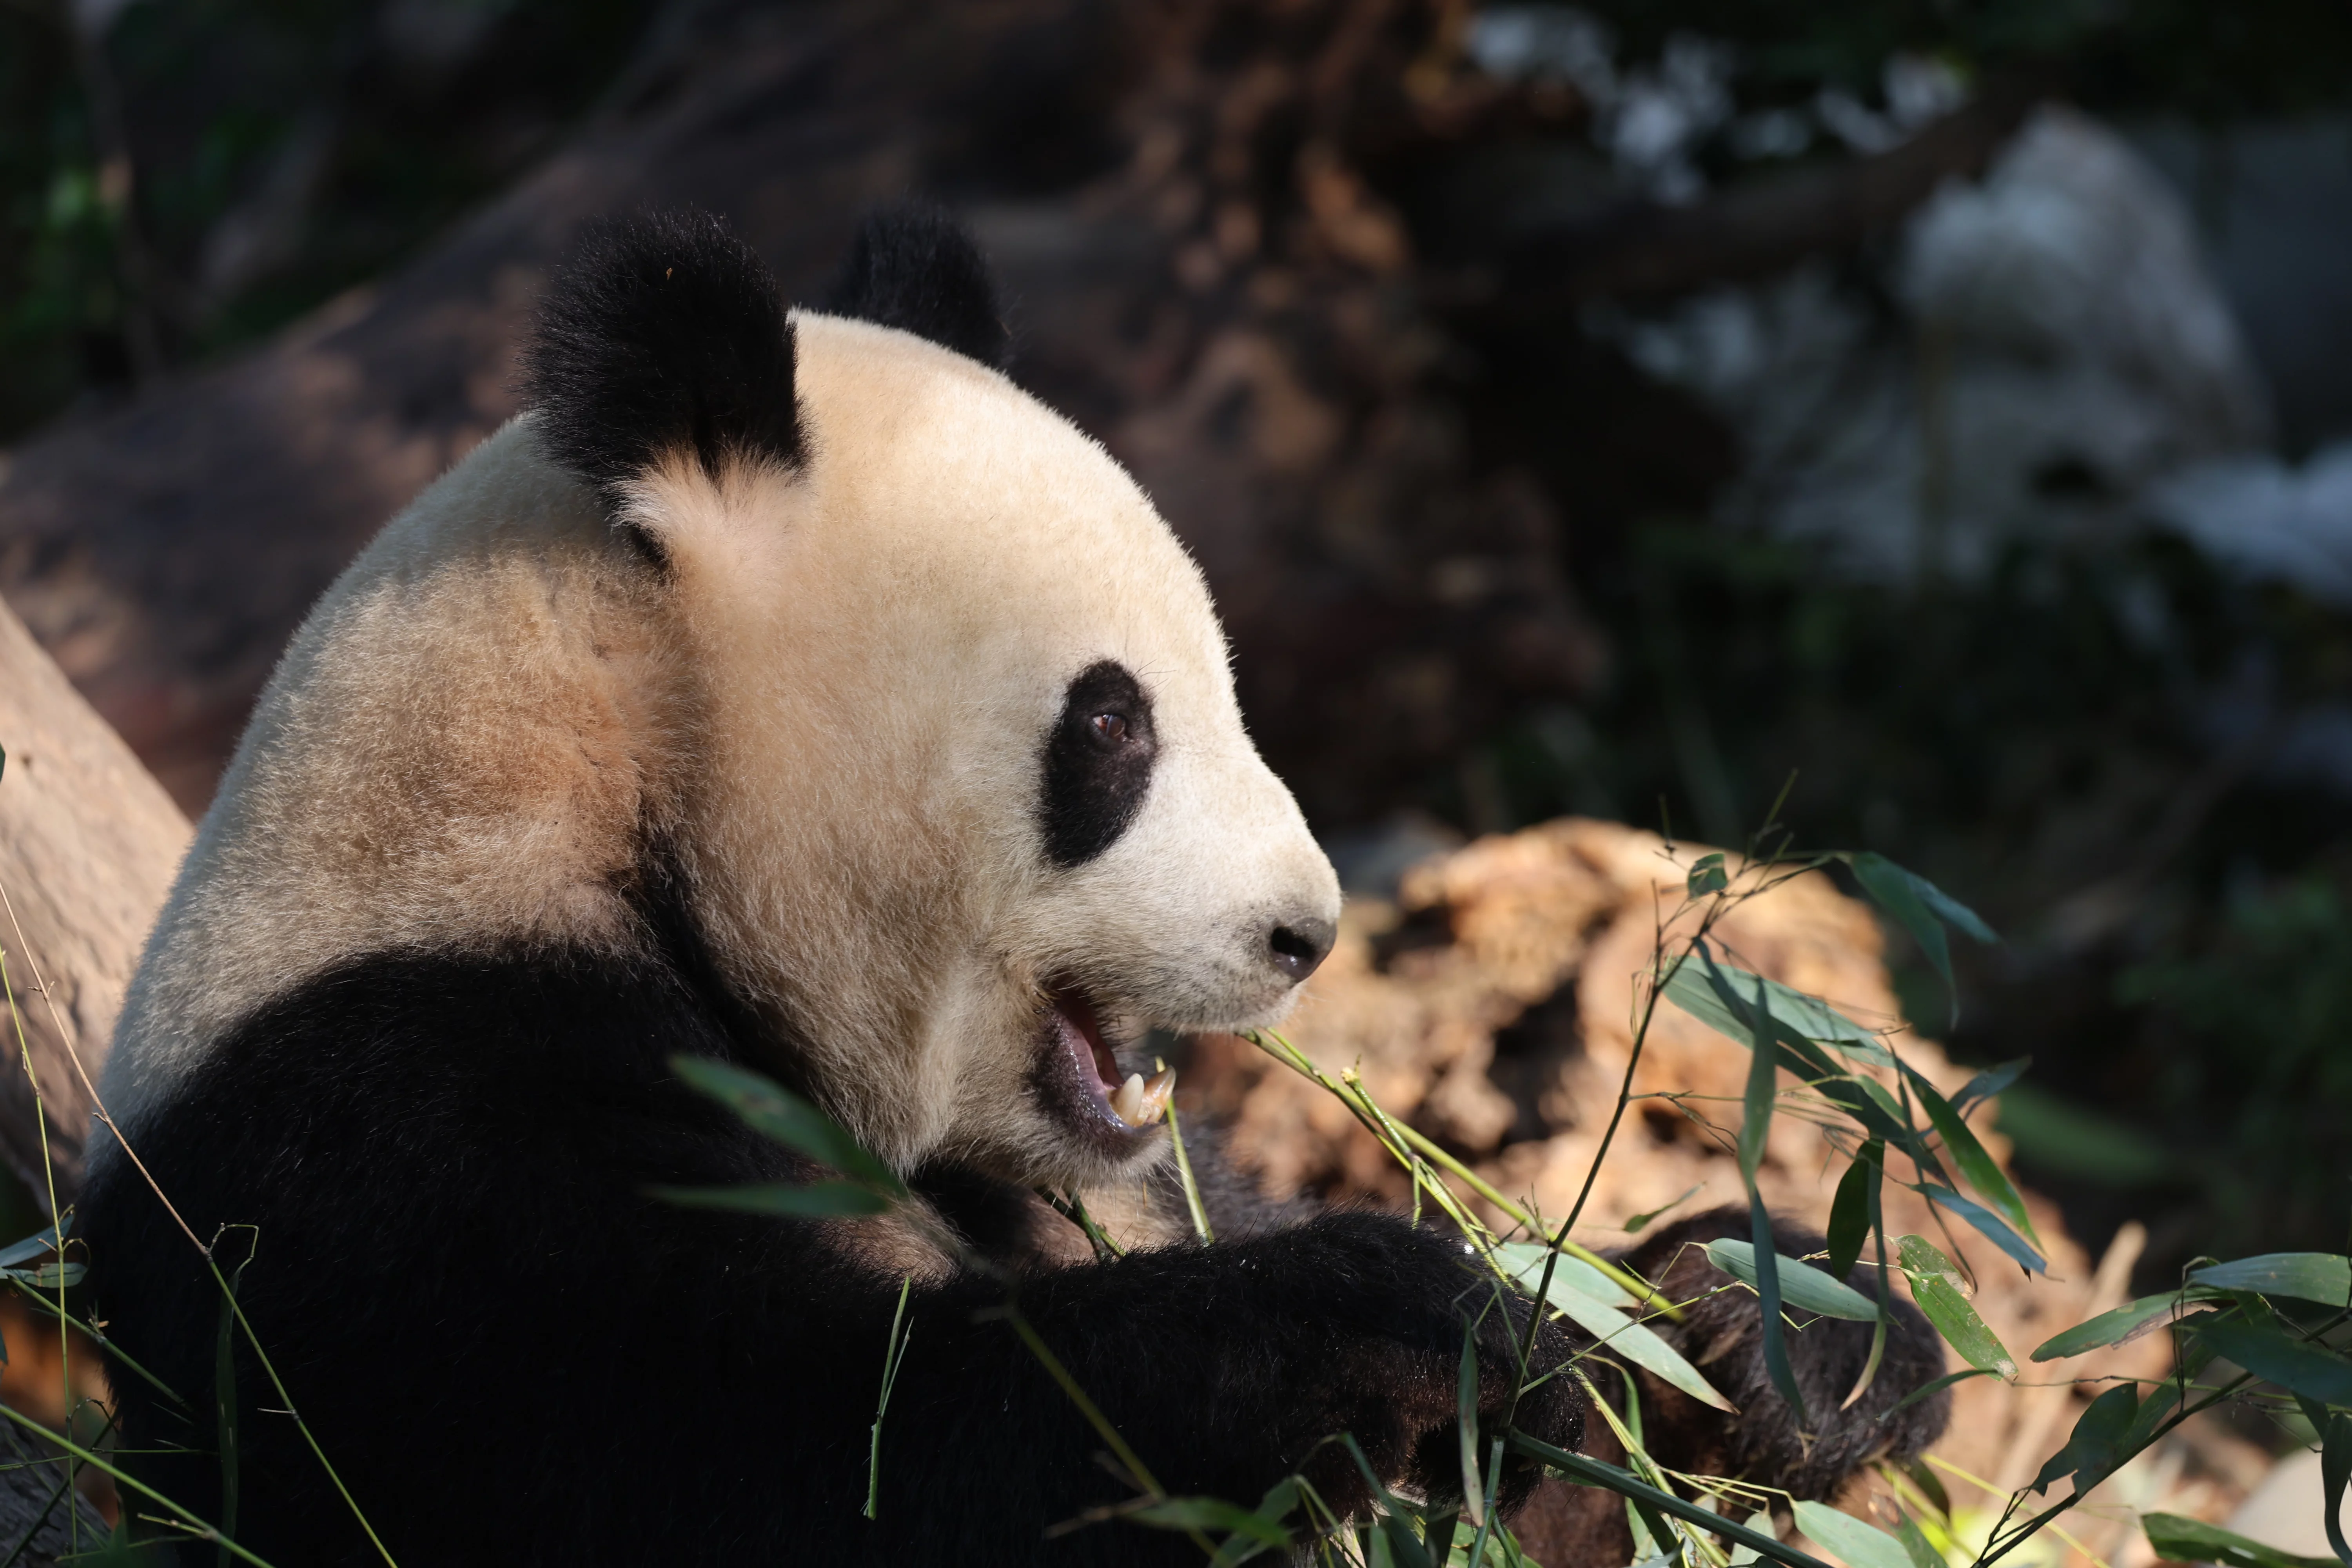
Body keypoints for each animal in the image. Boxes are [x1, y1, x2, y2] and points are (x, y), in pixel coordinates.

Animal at [81, 206, 1948, 1565]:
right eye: (1112, 725)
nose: (1303, 931)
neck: (594, 806)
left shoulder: (1106, 1179)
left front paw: (1771, 1320)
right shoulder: (392, 1126)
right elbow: (755, 1458)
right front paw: (1381, 1319)